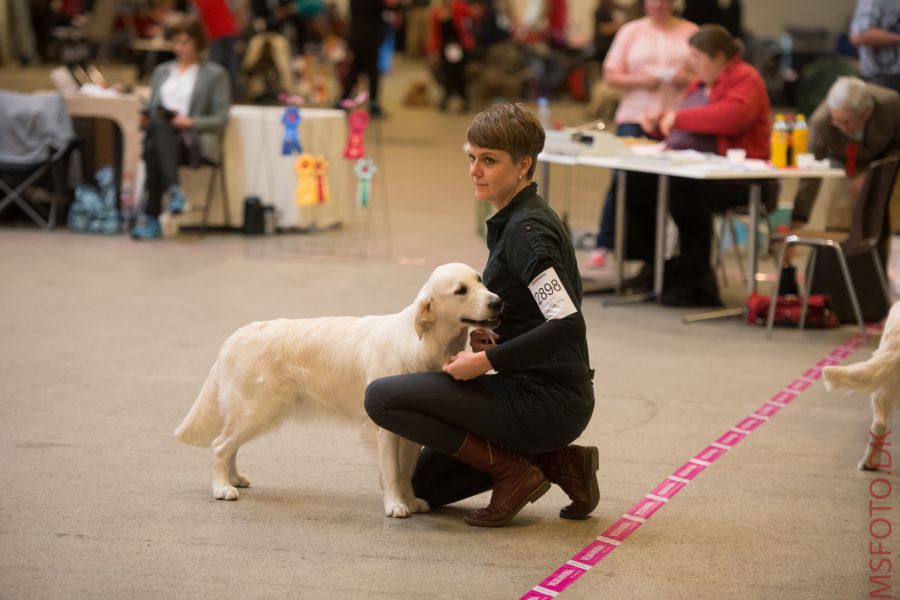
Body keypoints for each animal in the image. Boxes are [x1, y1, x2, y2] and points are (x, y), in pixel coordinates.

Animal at [172, 264, 502, 516]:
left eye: (479, 279)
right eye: (460, 290)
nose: (497, 301)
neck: (425, 343)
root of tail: (233, 338)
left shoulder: (409, 428)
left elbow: (407, 469)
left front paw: (411, 501)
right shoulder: (385, 426)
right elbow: (392, 470)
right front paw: (395, 506)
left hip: (254, 412)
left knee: (230, 445)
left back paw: (235, 478)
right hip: (258, 409)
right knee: (220, 446)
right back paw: (222, 487)